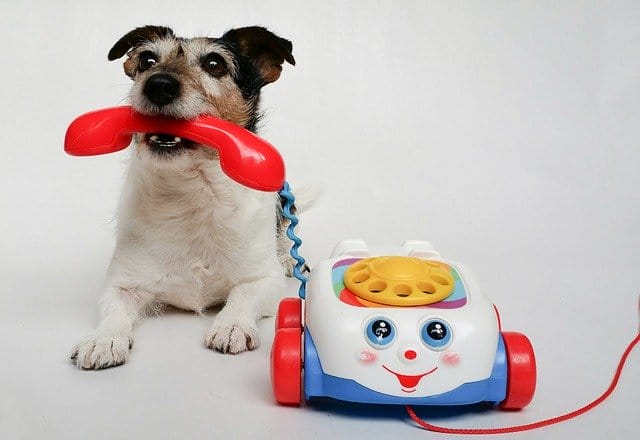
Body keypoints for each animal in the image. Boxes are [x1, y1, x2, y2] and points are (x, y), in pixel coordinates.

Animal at [71, 25, 302, 370]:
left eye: (215, 64)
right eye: (146, 60)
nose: (158, 85)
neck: (192, 192)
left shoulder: (264, 279)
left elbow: (243, 295)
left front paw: (231, 325)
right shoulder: (120, 283)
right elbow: (115, 309)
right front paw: (104, 339)